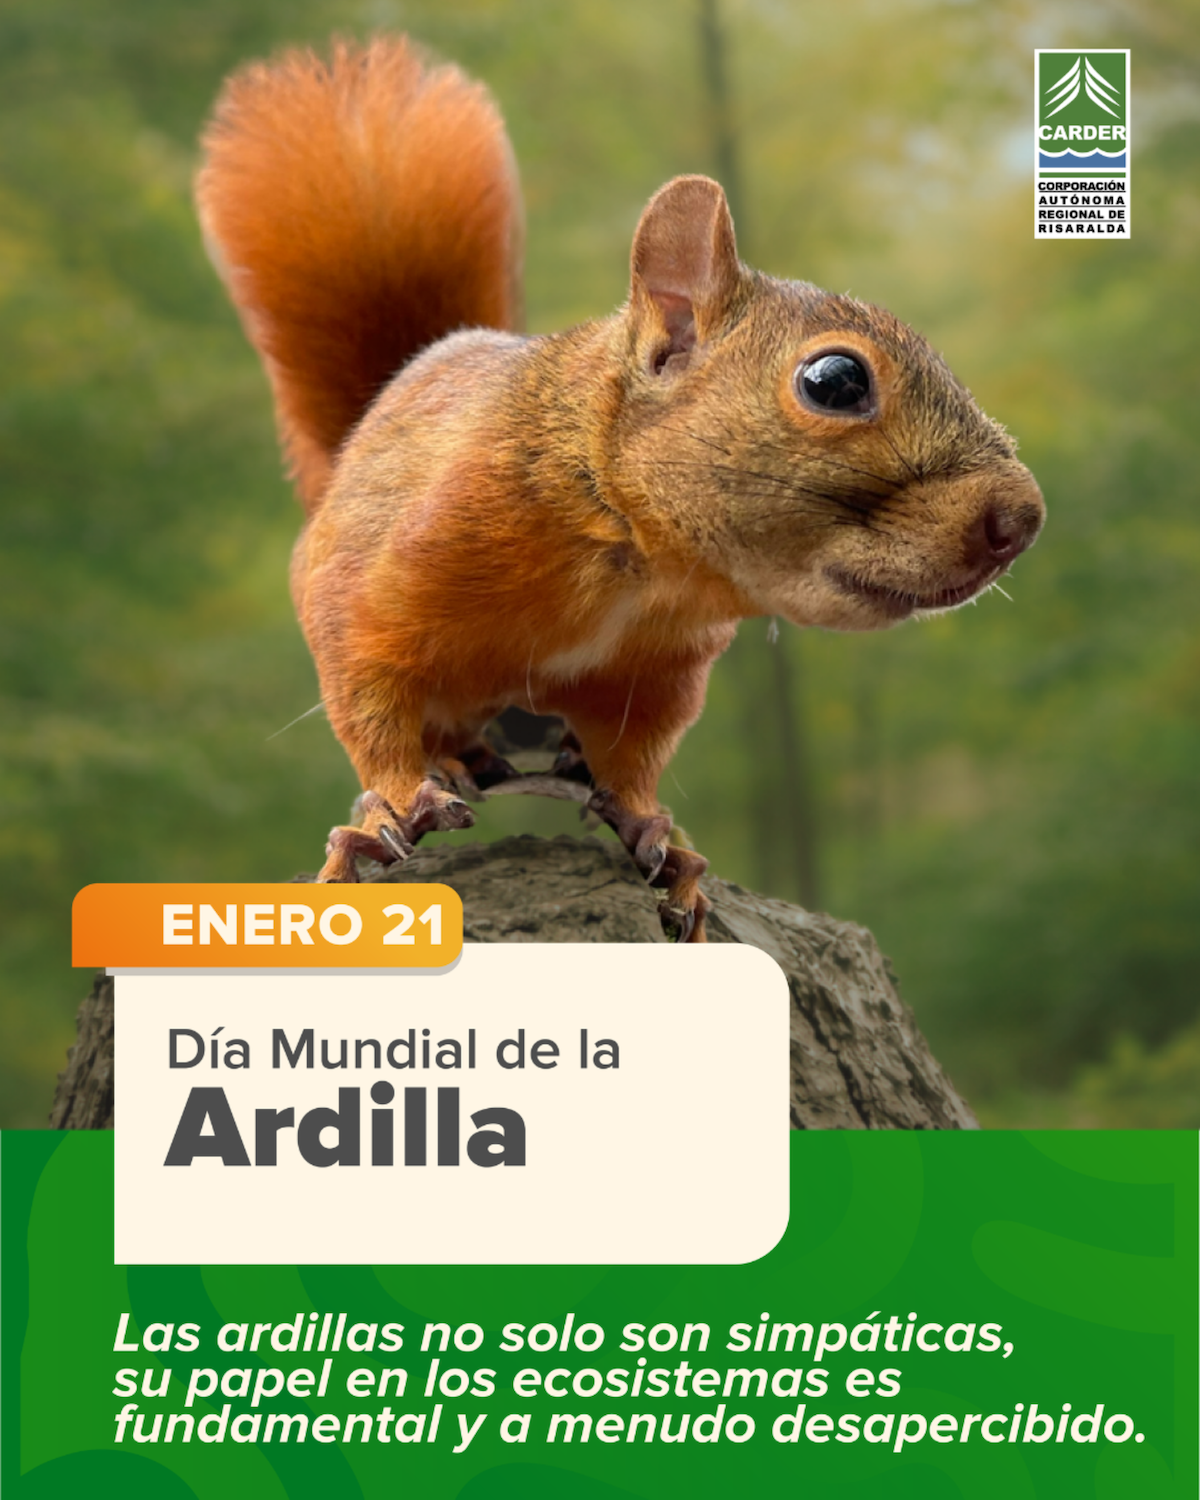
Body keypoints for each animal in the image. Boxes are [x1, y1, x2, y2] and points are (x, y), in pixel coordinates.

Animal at [197, 36, 1044, 942]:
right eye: (836, 380)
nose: (1022, 518)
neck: (642, 563)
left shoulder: (660, 671)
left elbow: (636, 758)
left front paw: (660, 840)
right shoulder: (372, 584)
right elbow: (369, 700)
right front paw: (386, 811)